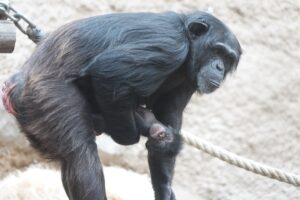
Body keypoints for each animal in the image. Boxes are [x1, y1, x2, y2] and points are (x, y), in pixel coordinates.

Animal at [1, 11, 241, 200]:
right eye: (217, 51)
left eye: (229, 58)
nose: (220, 67)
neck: (189, 48)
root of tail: (13, 87)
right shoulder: (169, 45)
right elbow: (110, 73)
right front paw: (128, 135)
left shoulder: (187, 81)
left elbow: (169, 118)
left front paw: (163, 190)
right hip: (47, 95)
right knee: (81, 156)